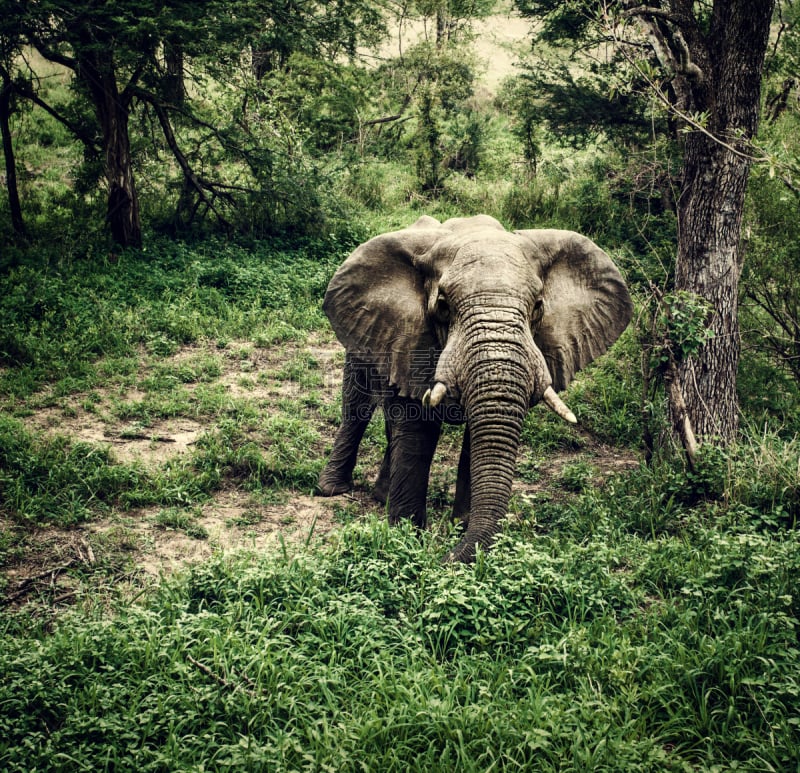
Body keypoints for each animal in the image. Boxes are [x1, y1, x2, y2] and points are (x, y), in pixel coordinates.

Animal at [316, 214, 636, 564]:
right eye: (443, 306)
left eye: (538, 307)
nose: (444, 558)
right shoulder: (410, 336)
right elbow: (417, 431)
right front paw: (407, 537)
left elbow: (477, 436)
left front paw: (460, 527)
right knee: (357, 406)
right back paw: (332, 490)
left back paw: (381, 495)